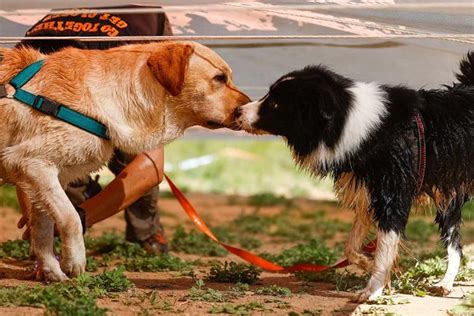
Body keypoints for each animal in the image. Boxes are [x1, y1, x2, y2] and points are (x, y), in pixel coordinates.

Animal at [235, 53, 472, 302]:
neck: (346, 120)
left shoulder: (392, 194)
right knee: (455, 244)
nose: (237, 111)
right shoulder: (366, 192)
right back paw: (445, 283)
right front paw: (374, 267)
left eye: (275, 104)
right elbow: (350, 246)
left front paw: (372, 289)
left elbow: (384, 248)